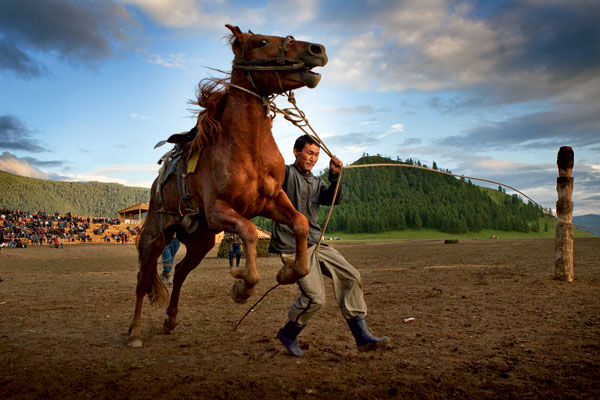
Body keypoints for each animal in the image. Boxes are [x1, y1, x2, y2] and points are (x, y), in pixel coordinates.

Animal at [126, 24, 328, 346]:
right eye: (261, 42)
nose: (317, 50)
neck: (246, 147)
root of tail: (158, 184)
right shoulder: (219, 210)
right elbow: (248, 231)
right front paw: (242, 288)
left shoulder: (272, 201)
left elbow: (300, 223)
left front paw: (288, 273)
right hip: (156, 235)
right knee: (143, 278)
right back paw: (134, 332)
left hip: (201, 240)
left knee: (180, 271)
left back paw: (170, 321)